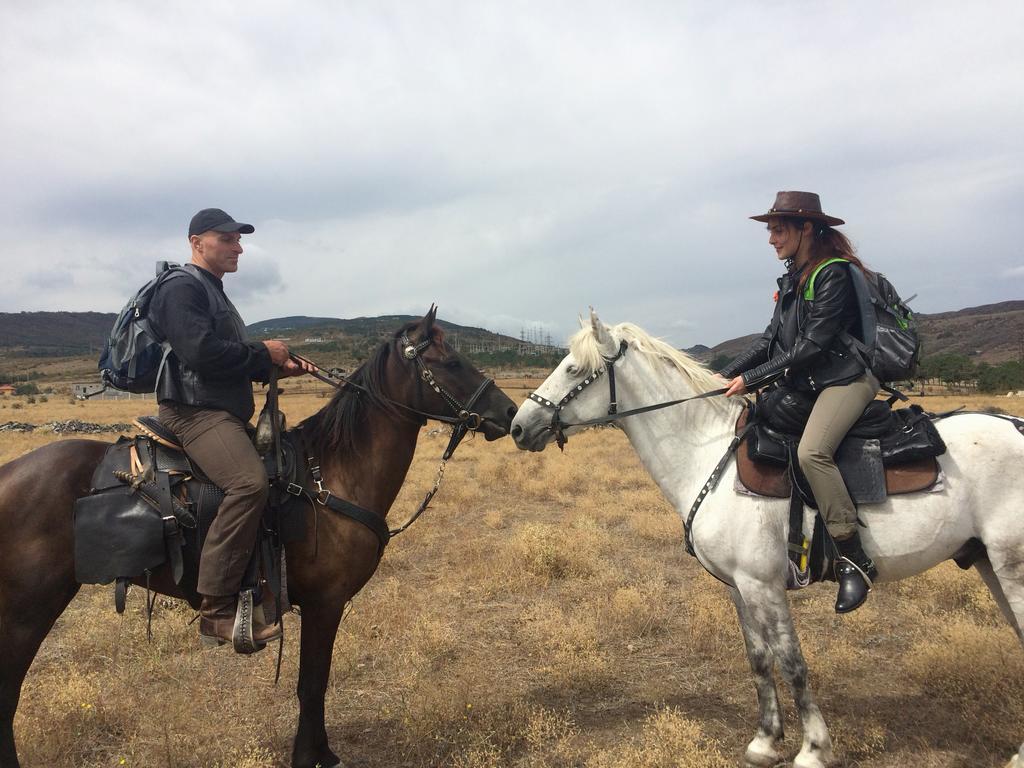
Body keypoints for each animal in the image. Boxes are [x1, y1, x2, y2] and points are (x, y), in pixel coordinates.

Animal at [0, 309, 516, 768]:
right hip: (27, 611)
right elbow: (312, 683)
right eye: (451, 362)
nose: (510, 413)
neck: (328, 475)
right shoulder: (325, 603)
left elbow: (316, 683)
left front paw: (321, 752)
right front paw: (311, 757)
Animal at [516, 311, 1024, 768]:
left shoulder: (763, 585)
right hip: (987, 562)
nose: (520, 426)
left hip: (1011, 568)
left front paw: (813, 749)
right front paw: (765, 742)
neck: (709, 453)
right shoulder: (739, 588)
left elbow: (792, 662)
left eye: (574, 369)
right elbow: (759, 660)